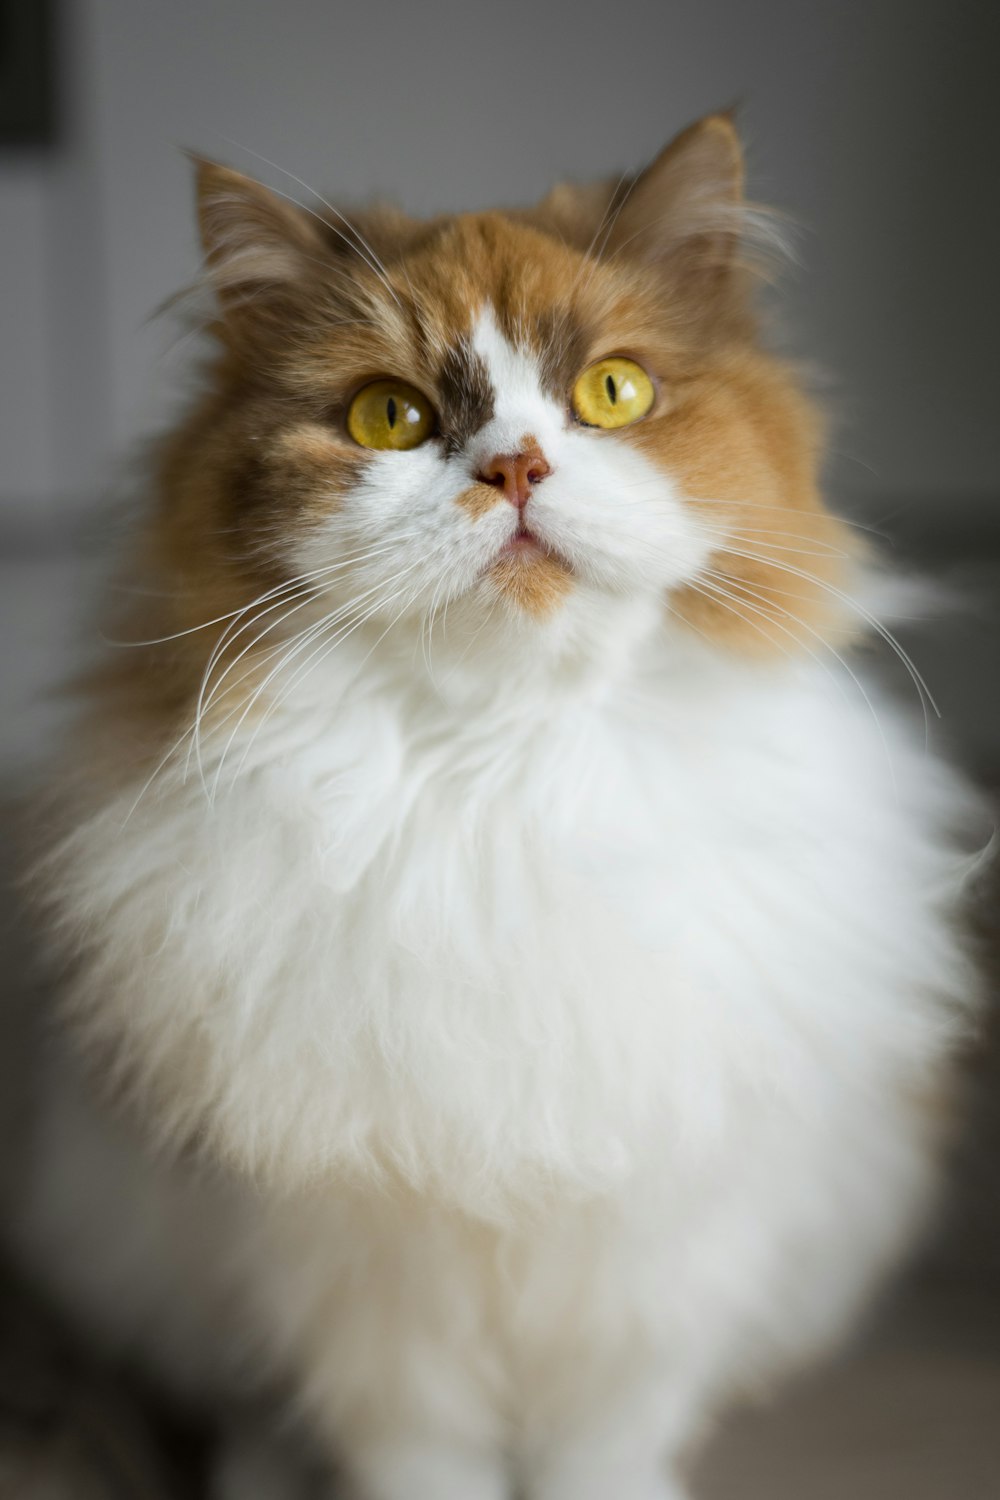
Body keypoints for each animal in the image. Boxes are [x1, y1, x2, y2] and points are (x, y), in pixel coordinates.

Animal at [15, 117, 983, 1500]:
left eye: (613, 394)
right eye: (390, 417)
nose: (515, 467)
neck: (507, 770)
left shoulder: (647, 1255)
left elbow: (607, 1440)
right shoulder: (362, 1277)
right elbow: (415, 1452)